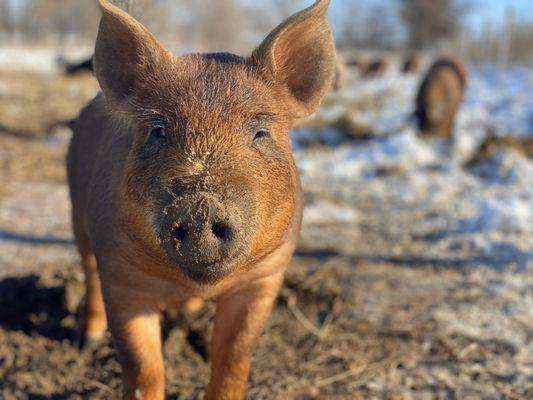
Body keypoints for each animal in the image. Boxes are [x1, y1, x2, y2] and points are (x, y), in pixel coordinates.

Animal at [65, 0, 332, 400]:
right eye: (158, 131)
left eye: (260, 132)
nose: (200, 205)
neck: (197, 282)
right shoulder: (121, 275)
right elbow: (142, 365)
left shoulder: (266, 275)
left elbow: (235, 356)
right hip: (76, 215)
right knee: (88, 272)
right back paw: (88, 342)